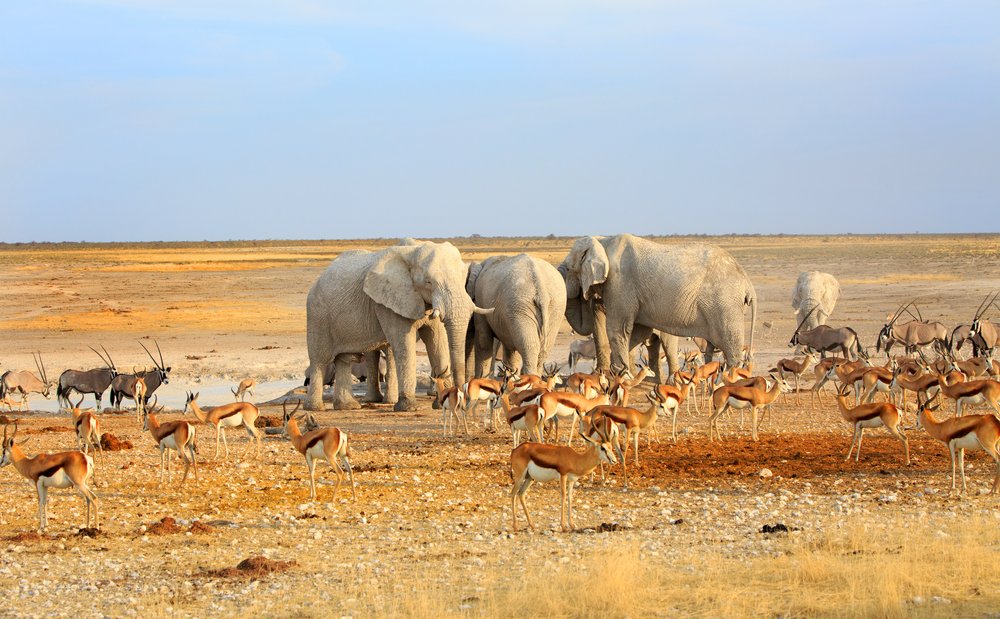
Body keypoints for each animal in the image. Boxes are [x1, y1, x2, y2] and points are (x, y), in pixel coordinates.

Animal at [304, 241, 492, 412]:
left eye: (463, 279)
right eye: (428, 282)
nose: (462, 402)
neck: (413, 253)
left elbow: (436, 339)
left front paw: (440, 405)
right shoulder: (387, 301)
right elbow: (403, 344)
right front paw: (408, 407)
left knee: (344, 359)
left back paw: (348, 406)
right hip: (317, 314)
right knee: (320, 359)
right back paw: (315, 408)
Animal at [556, 234, 756, 376]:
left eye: (569, 268)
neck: (603, 240)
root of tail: (747, 282)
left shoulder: (620, 285)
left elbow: (617, 328)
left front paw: (619, 375)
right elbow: (639, 331)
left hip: (725, 304)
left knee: (730, 347)